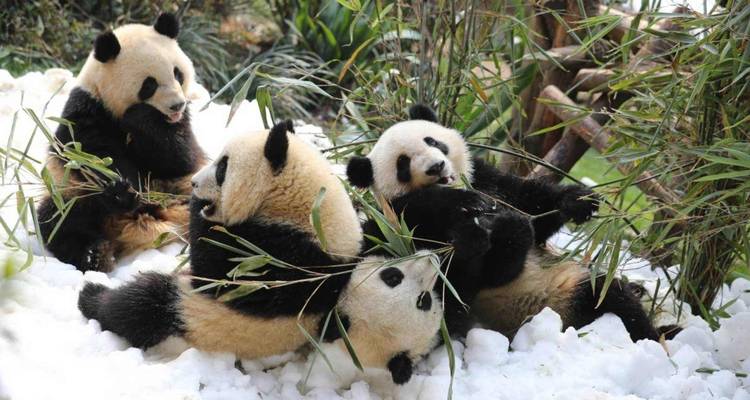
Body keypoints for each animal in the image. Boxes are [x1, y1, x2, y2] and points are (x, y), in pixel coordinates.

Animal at [37, 13, 204, 272]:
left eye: (178, 73)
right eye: (149, 84)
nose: (177, 105)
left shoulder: (182, 127)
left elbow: (180, 158)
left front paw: (142, 119)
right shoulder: (85, 112)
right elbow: (91, 157)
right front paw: (122, 191)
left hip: (190, 191)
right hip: (69, 193)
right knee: (61, 220)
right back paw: (94, 255)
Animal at [78, 122, 440, 384]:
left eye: (222, 168)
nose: (194, 183)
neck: (309, 209)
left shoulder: (287, 258)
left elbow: (220, 268)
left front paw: (202, 210)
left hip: (193, 316)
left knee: (143, 305)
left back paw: (92, 296)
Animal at [346, 105, 673, 342]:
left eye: (432, 141)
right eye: (402, 164)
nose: (436, 166)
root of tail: (557, 319)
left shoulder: (487, 178)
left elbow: (531, 204)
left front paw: (577, 200)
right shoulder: (406, 224)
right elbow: (464, 273)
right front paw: (482, 227)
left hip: (571, 285)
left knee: (613, 297)